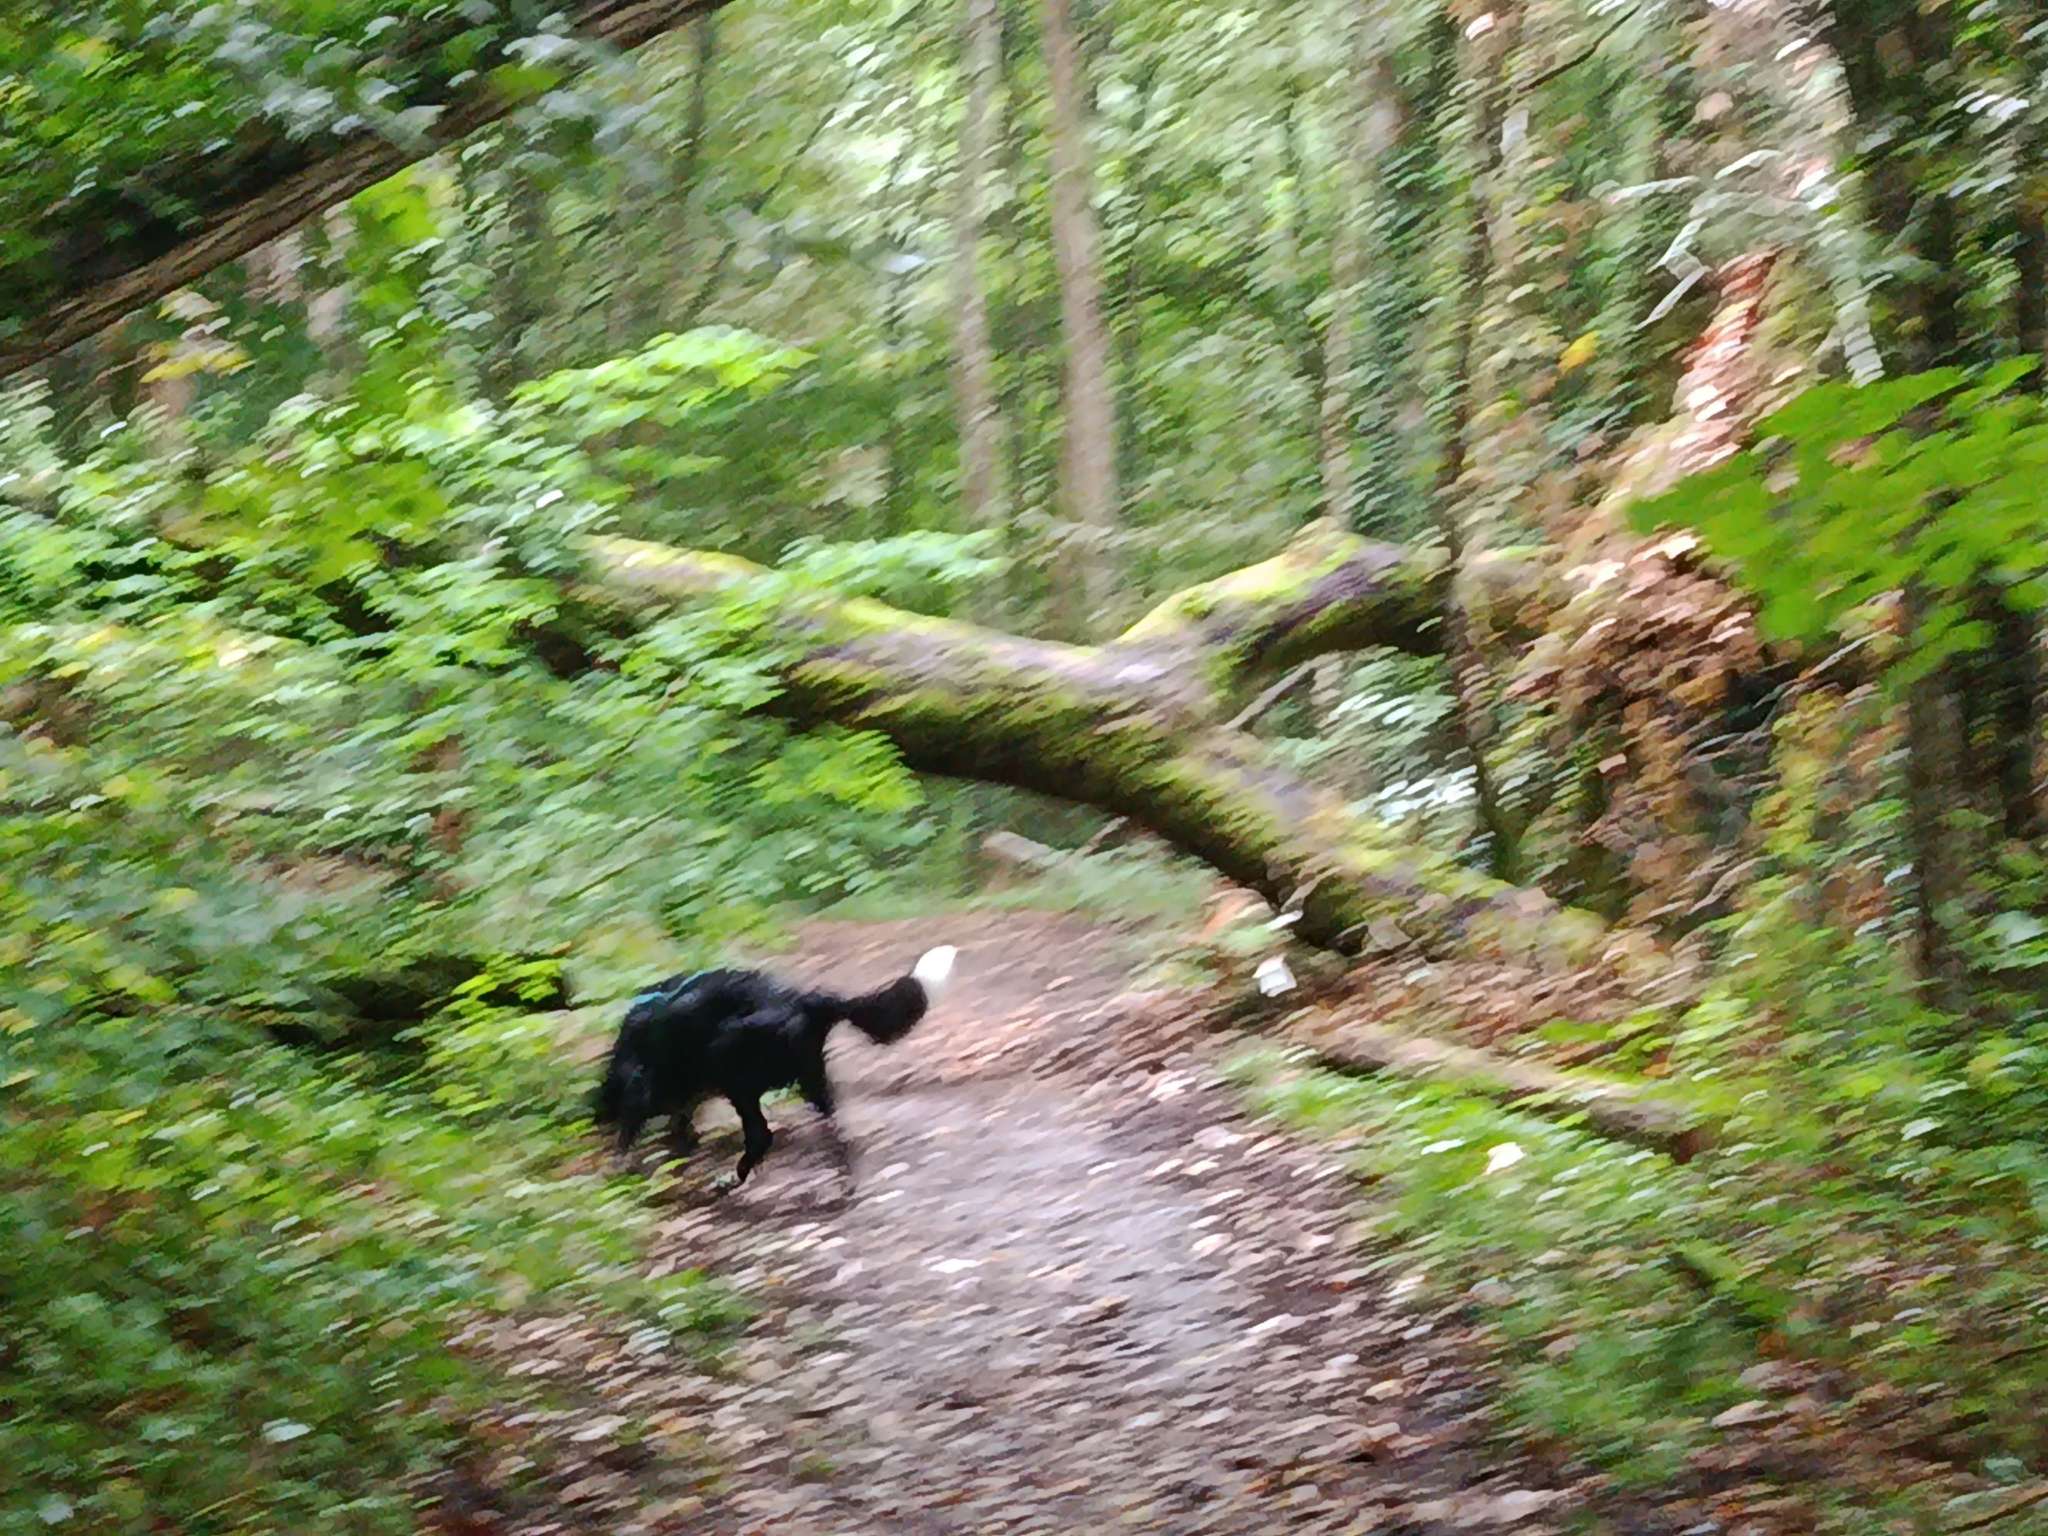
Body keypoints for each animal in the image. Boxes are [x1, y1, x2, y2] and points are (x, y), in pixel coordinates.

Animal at [592, 946, 956, 1194]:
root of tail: (805, 1000)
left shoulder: (642, 1087)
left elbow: (632, 1131)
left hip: (731, 1066)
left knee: (760, 1135)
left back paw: (731, 1179)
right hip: (809, 1076)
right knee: (829, 1115)